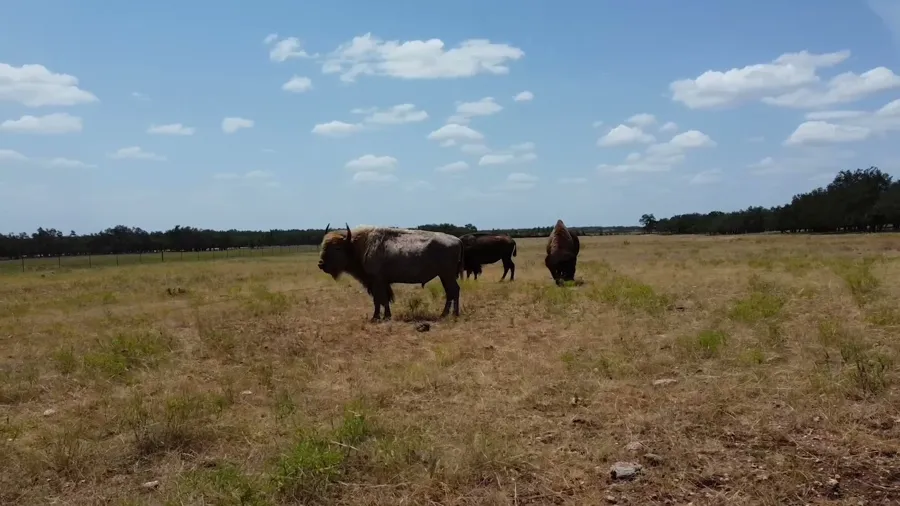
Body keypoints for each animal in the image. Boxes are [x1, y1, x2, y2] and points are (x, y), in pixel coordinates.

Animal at [318, 223, 464, 321]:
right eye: (324, 245)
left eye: (337, 247)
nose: (321, 264)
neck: (358, 245)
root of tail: (457, 240)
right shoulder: (381, 282)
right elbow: (384, 299)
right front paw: (385, 316)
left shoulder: (377, 281)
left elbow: (379, 299)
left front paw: (377, 317)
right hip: (444, 276)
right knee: (451, 292)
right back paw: (446, 314)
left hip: (447, 275)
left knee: (454, 291)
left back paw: (453, 314)